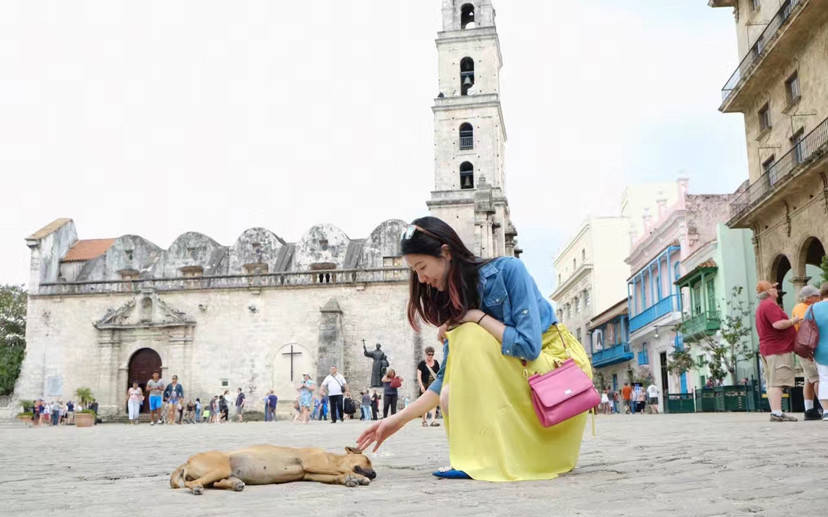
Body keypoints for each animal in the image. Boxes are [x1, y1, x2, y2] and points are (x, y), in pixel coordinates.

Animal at [170, 442, 376, 494]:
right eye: (367, 459)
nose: (374, 474)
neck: (331, 458)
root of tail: (187, 462)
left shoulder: (311, 473)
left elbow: (337, 475)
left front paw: (350, 479)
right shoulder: (312, 463)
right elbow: (343, 470)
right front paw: (356, 477)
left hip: (223, 472)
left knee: (216, 483)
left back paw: (235, 484)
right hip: (220, 466)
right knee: (194, 483)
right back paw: (197, 488)